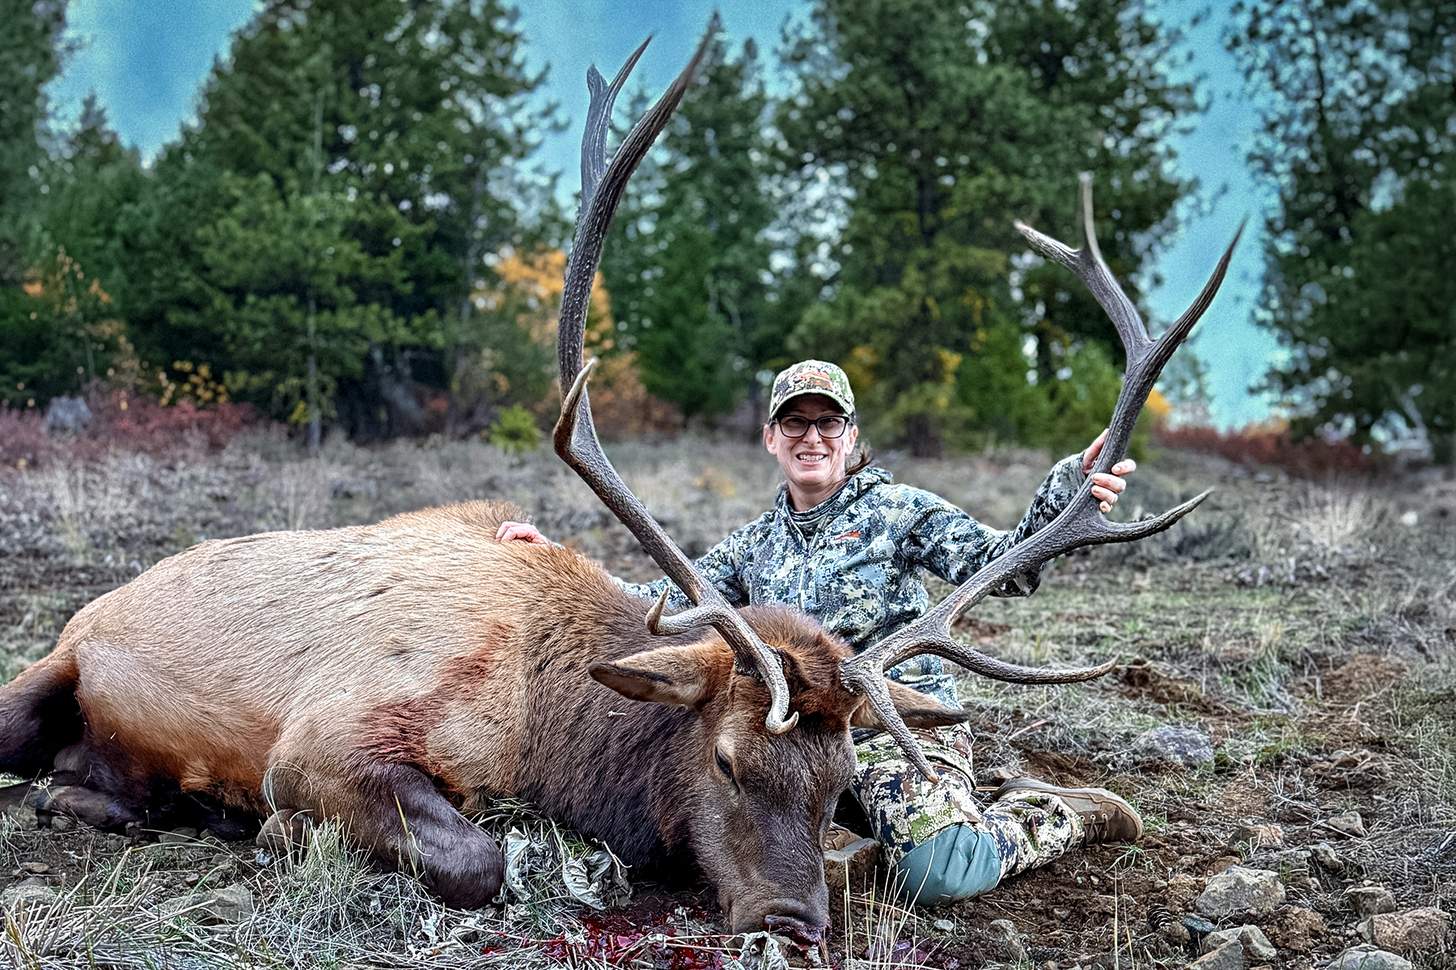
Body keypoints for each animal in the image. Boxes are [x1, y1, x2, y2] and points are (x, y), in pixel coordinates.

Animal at [0, 22, 1240, 949]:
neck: (554, 725)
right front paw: (276, 834)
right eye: (728, 760)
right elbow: (474, 853)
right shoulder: (326, 733)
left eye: (840, 774)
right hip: (48, 668)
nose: (790, 922)